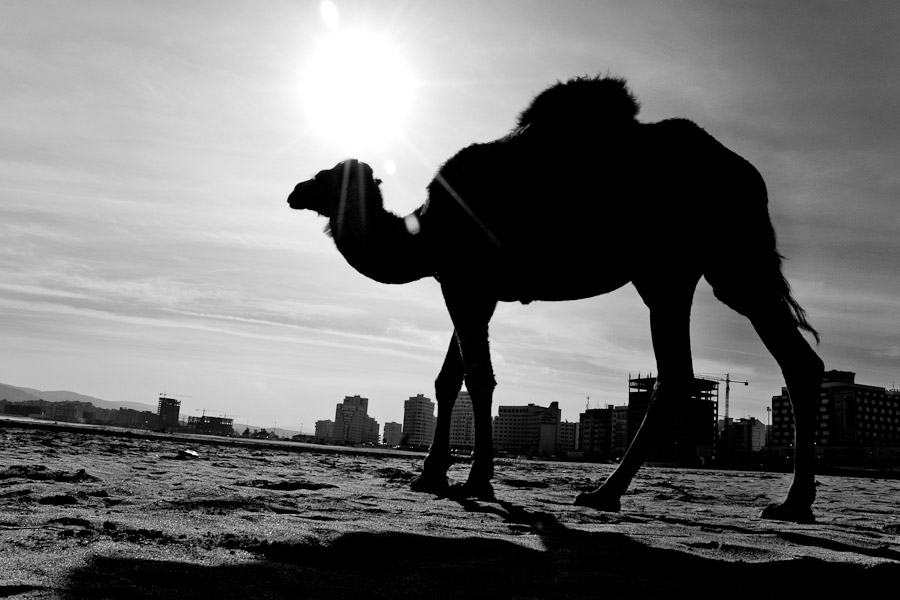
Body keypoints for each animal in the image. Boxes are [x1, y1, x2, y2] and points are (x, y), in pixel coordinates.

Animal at [286, 76, 824, 520]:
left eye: (330, 176)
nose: (294, 189)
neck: (424, 234)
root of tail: (750, 176)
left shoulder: (466, 282)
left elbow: (478, 379)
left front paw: (477, 481)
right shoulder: (469, 287)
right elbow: (447, 380)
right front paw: (430, 475)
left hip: (704, 264)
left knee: (697, 369)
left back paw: (613, 493)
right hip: (689, 271)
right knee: (764, 363)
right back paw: (787, 503)